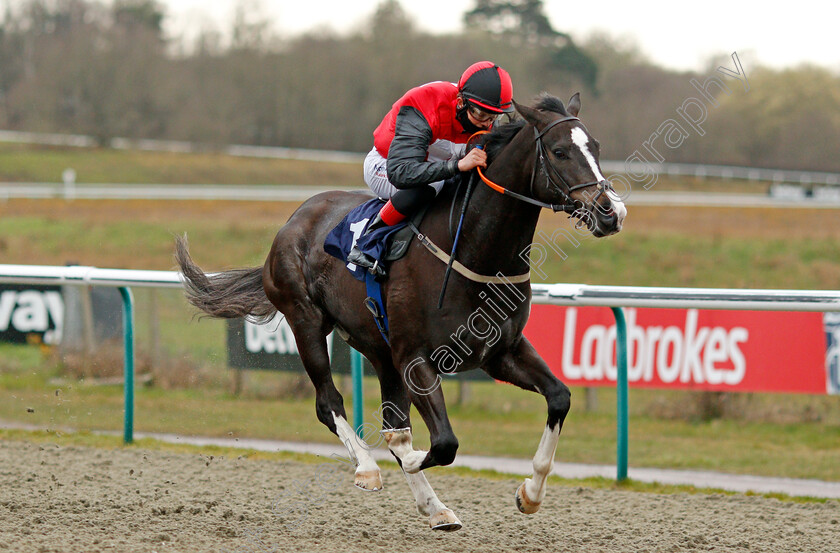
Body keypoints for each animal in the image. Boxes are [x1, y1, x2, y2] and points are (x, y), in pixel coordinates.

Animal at [176, 95, 624, 532]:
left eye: (597, 147)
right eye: (560, 151)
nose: (610, 211)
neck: (473, 249)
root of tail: (295, 218)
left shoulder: (500, 352)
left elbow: (559, 397)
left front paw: (529, 494)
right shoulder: (416, 357)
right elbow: (440, 443)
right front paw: (403, 455)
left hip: (379, 349)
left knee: (392, 417)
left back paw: (436, 508)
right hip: (306, 322)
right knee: (329, 402)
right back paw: (367, 468)